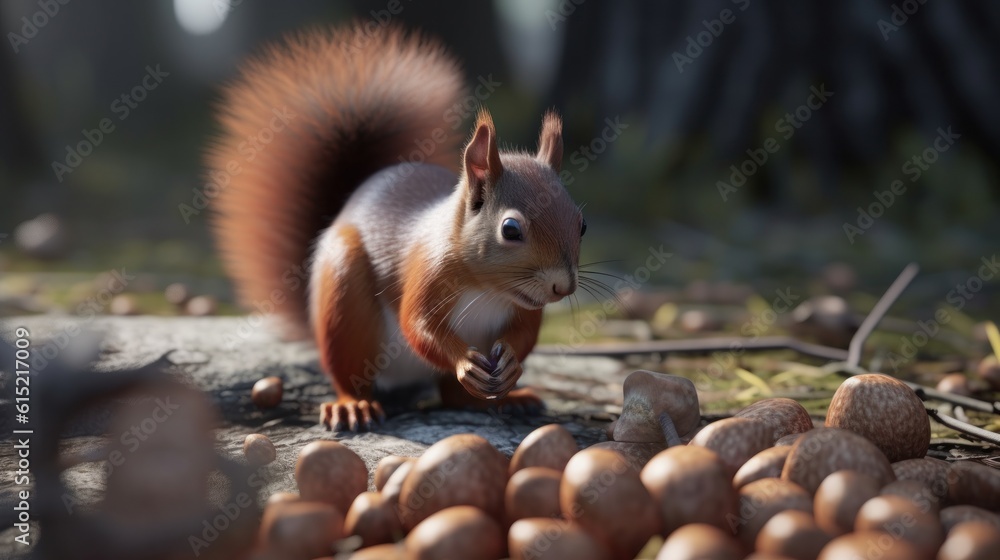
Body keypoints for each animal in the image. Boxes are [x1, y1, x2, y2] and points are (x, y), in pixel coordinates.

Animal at [209, 25, 584, 431]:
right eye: (511, 229)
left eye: (582, 224)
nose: (563, 287)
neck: (489, 289)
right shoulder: (426, 271)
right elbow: (417, 325)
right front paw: (464, 362)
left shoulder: (526, 305)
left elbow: (525, 335)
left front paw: (513, 363)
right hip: (345, 300)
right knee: (351, 373)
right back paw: (352, 406)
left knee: (454, 398)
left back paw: (508, 400)